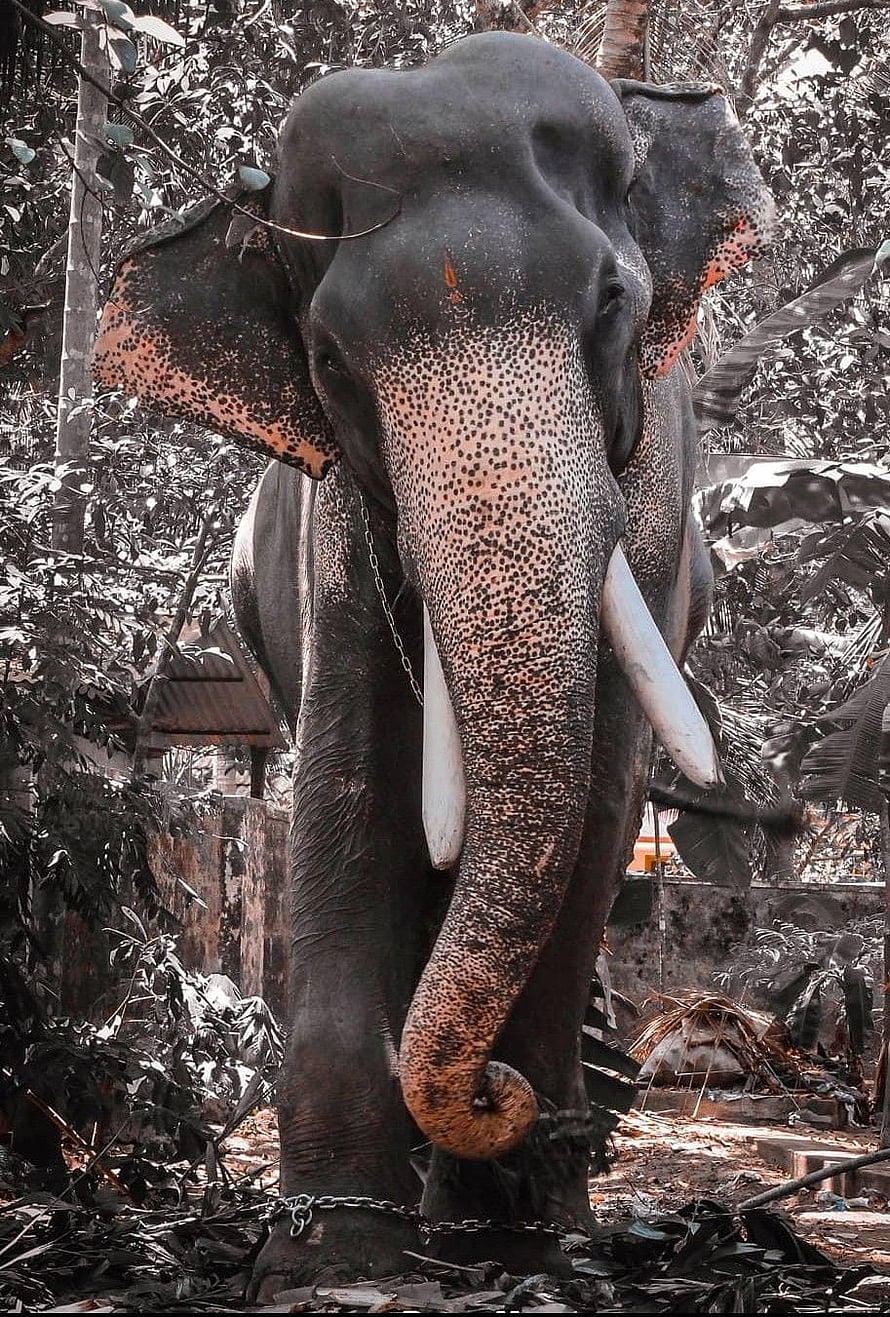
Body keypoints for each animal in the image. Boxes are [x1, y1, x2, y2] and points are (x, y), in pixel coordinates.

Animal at [95, 32, 773, 1291]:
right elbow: (350, 787)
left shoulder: (652, 501)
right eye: (325, 356)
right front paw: (337, 1256)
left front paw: (513, 1229)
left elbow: (598, 794)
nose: (509, 1106)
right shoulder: (333, 532)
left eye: (614, 300)